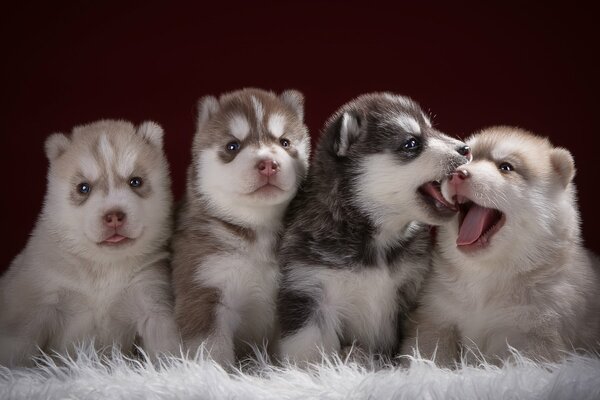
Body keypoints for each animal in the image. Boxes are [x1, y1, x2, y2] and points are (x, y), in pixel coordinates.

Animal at [0, 119, 180, 366]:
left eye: (136, 181)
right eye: (83, 188)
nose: (114, 216)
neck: (104, 266)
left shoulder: (152, 300)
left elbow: (166, 349)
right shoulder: (34, 304)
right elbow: (16, 349)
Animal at [170, 87, 308, 366]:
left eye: (285, 143)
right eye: (232, 146)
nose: (268, 164)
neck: (259, 230)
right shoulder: (204, 289)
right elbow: (212, 351)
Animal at [278, 91, 474, 362]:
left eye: (432, 129)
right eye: (411, 143)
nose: (466, 148)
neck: (378, 237)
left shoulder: (414, 289)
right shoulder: (309, 292)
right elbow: (310, 351)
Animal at [404, 126, 600, 366]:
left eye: (505, 167)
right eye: (466, 159)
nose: (457, 174)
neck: (485, 275)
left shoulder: (534, 334)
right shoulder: (435, 318)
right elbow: (430, 352)